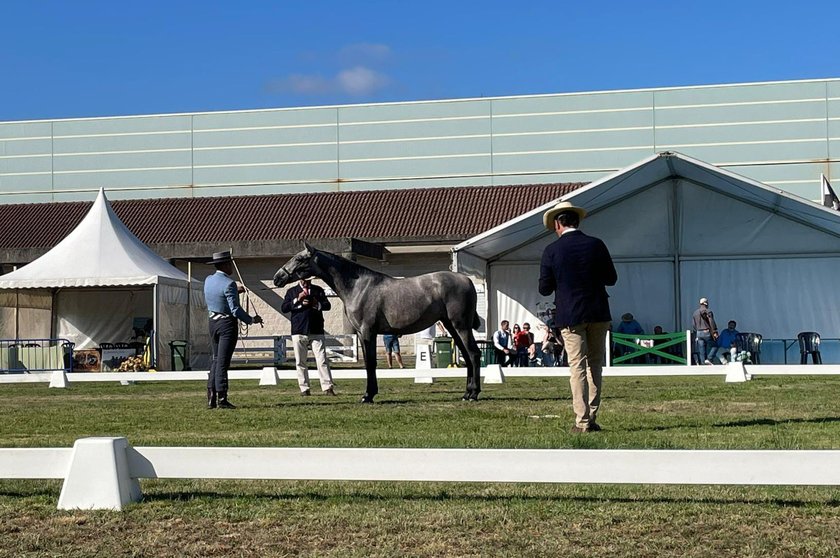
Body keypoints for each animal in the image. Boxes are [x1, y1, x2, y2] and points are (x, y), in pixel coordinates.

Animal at [274, 244, 482, 402]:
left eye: (299, 259)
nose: (277, 277)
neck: (358, 286)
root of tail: (467, 280)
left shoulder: (368, 332)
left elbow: (371, 363)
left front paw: (368, 395)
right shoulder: (361, 333)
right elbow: (368, 362)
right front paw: (369, 393)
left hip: (461, 326)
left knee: (473, 354)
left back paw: (473, 394)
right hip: (452, 326)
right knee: (467, 355)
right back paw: (466, 393)